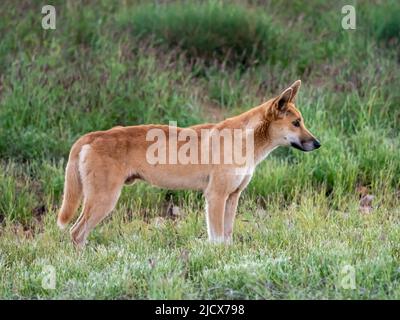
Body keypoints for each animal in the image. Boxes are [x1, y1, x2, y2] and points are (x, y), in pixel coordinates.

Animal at [57, 79, 318, 248]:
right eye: (296, 123)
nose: (318, 144)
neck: (244, 141)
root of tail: (92, 136)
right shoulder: (216, 196)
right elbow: (216, 238)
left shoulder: (233, 197)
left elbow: (227, 237)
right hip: (104, 199)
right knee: (76, 232)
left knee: (78, 233)